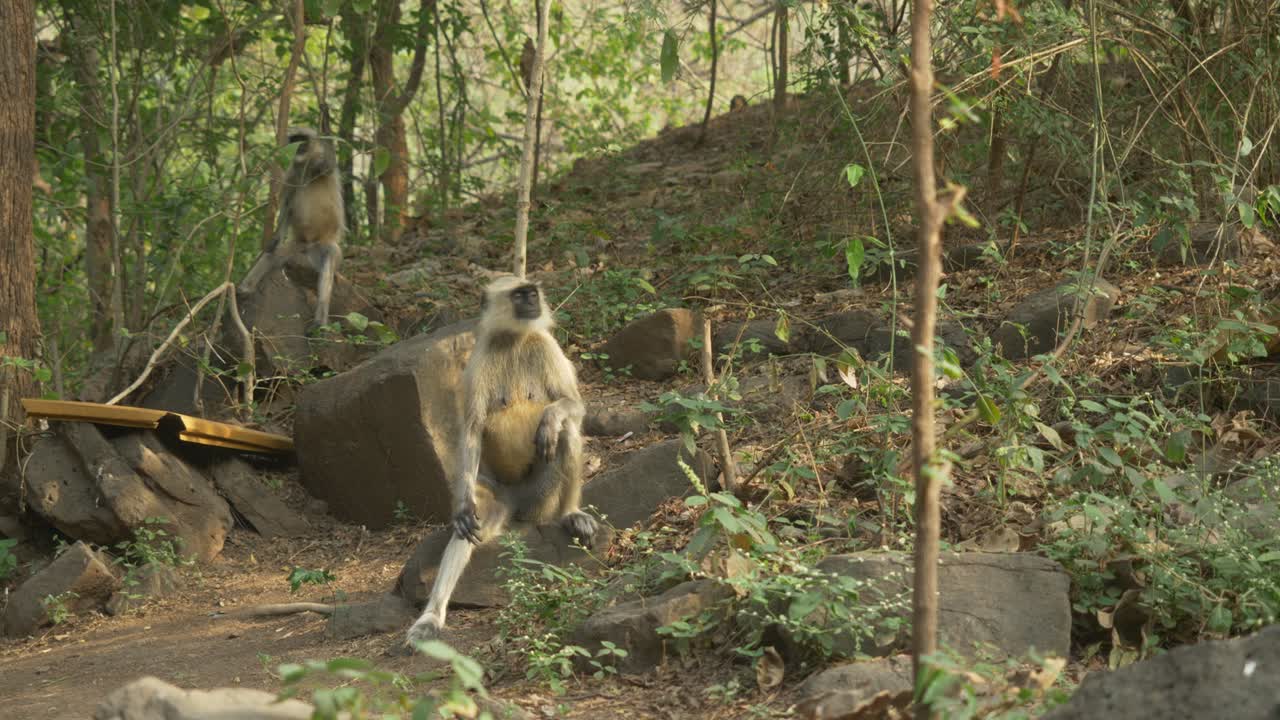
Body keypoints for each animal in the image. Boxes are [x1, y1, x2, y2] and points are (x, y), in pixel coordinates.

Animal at [239, 127, 344, 330]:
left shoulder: (321, 165)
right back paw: (245, 289)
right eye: (295, 139)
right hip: (296, 245)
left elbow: (327, 163)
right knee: (273, 254)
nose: (299, 146)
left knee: (328, 260)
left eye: (303, 139)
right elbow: (288, 205)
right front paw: (275, 238)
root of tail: (308, 245)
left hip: (322, 244)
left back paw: (319, 321)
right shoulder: (292, 173)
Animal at [405, 276, 598, 647]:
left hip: (541, 500)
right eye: (520, 295)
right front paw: (461, 506)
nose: (533, 302)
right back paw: (431, 616)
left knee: (566, 431)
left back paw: (570, 513)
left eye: (532, 292)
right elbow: (470, 431)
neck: (514, 338)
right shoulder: (478, 360)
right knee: (474, 520)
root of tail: (517, 506)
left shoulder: (545, 344)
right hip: (497, 495)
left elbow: (573, 405)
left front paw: (550, 417)